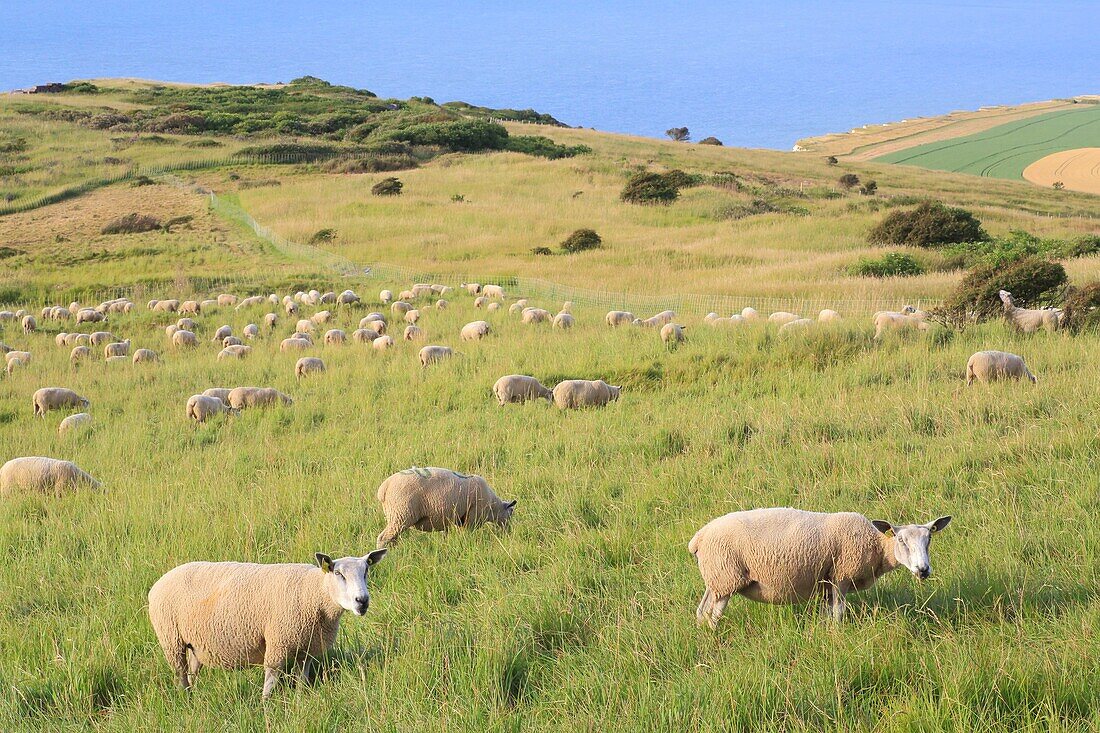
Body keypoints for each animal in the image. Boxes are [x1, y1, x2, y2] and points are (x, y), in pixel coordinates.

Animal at [146, 548, 387, 695]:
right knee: (180, 673)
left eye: (366, 571)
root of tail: (158, 582)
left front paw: (301, 698)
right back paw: (185, 697)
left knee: (192, 671)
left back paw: (193, 695)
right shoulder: (278, 641)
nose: (362, 601)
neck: (314, 593)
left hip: (195, 644)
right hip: (171, 639)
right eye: (338, 574)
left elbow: (302, 677)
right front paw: (266, 705)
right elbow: (271, 676)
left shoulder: (307, 646)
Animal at [376, 464, 517, 545]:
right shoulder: (472, 517)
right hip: (401, 514)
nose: (509, 532)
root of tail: (384, 488)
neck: (493, 506)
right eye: (511, 513)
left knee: (392, 537)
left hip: (397, 516)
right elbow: (466, 534)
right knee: (384, 538)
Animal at [686, 508, 954, 620]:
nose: (923, 570)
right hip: (725, 578)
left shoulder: (826, 583)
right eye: (901, 540)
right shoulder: (841, 577)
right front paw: (837, 635)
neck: (876, 546)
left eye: (929, 539)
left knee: (701, 611)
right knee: (713, 613)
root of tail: (699, 537)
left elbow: (827, 611)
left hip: (716, 579)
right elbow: (838, 612)